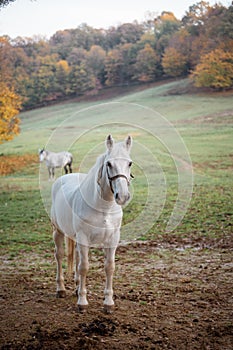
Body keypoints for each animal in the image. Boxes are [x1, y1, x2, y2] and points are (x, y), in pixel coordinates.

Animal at [51, 134, 134, 312]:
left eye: (129, 163)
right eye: (109, 164)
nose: (122, 196)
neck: (103, 208)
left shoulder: (112, 239)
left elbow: (109, 267)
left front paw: (108, 303)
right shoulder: (84, 238)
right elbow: (84, 267)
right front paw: (82, 302)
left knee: (75, 256)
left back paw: (76, 287)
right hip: (58, 231)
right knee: (59, 256)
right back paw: (61, 289)